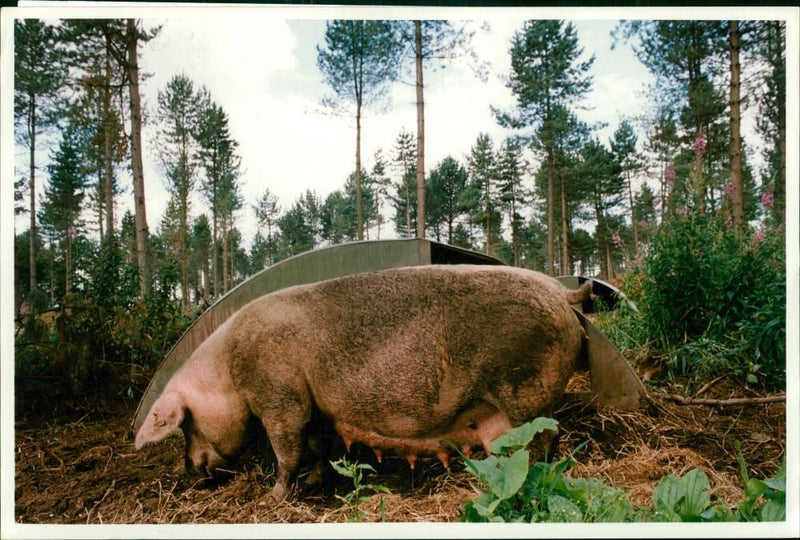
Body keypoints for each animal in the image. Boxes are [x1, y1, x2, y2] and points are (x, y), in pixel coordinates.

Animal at [136, 266, 588, 502]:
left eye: (187, 424)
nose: (190, 470)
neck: (228, 371)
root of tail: (560, 291)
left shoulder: (281, 398)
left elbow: (287, 449)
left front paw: (273, 497)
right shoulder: (315, 409)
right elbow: (316, 447)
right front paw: (315, 483)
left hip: (527, 393)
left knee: (545, 438)